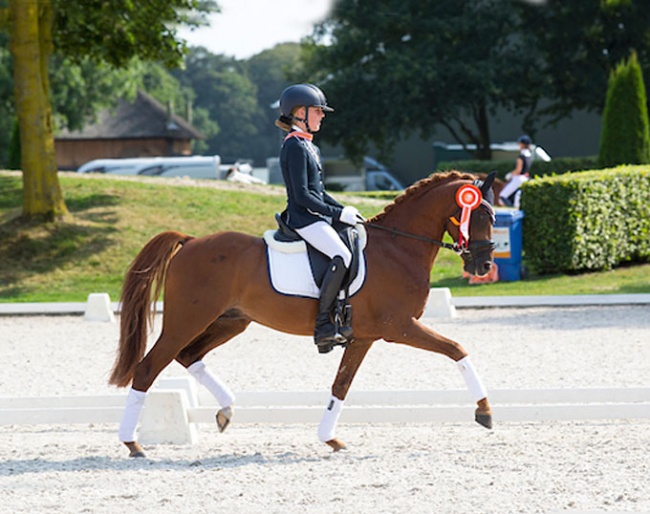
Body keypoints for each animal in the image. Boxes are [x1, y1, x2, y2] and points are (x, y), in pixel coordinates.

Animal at [110, 170, 496, 454]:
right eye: (480, 213)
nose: (483, 265)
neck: (398, 247)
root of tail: (190, 241)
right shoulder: (399, 327)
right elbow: (457, 350)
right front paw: (485, 412)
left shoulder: (365, 337)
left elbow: (341, 385)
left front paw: (330, 438)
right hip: (187, 320)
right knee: (148, 368)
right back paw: (132, 443)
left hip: (230, 322)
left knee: (189, 356)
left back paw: (226, 410)